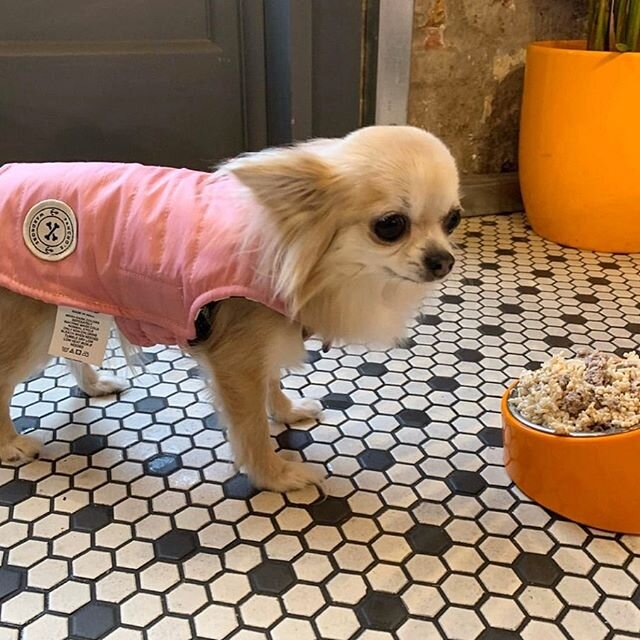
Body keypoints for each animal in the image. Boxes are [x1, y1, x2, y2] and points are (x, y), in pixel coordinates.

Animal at [0, 126, 460, 496]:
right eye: (390, 225)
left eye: (452, 220)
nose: (444, 260)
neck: (288, 245)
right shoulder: (237, 357)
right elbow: (252, 426)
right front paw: (275, 475)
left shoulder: (263, 341)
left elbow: (272, 381)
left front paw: (287, 412)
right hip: (27, 324)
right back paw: (10, 444)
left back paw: (93, 385)